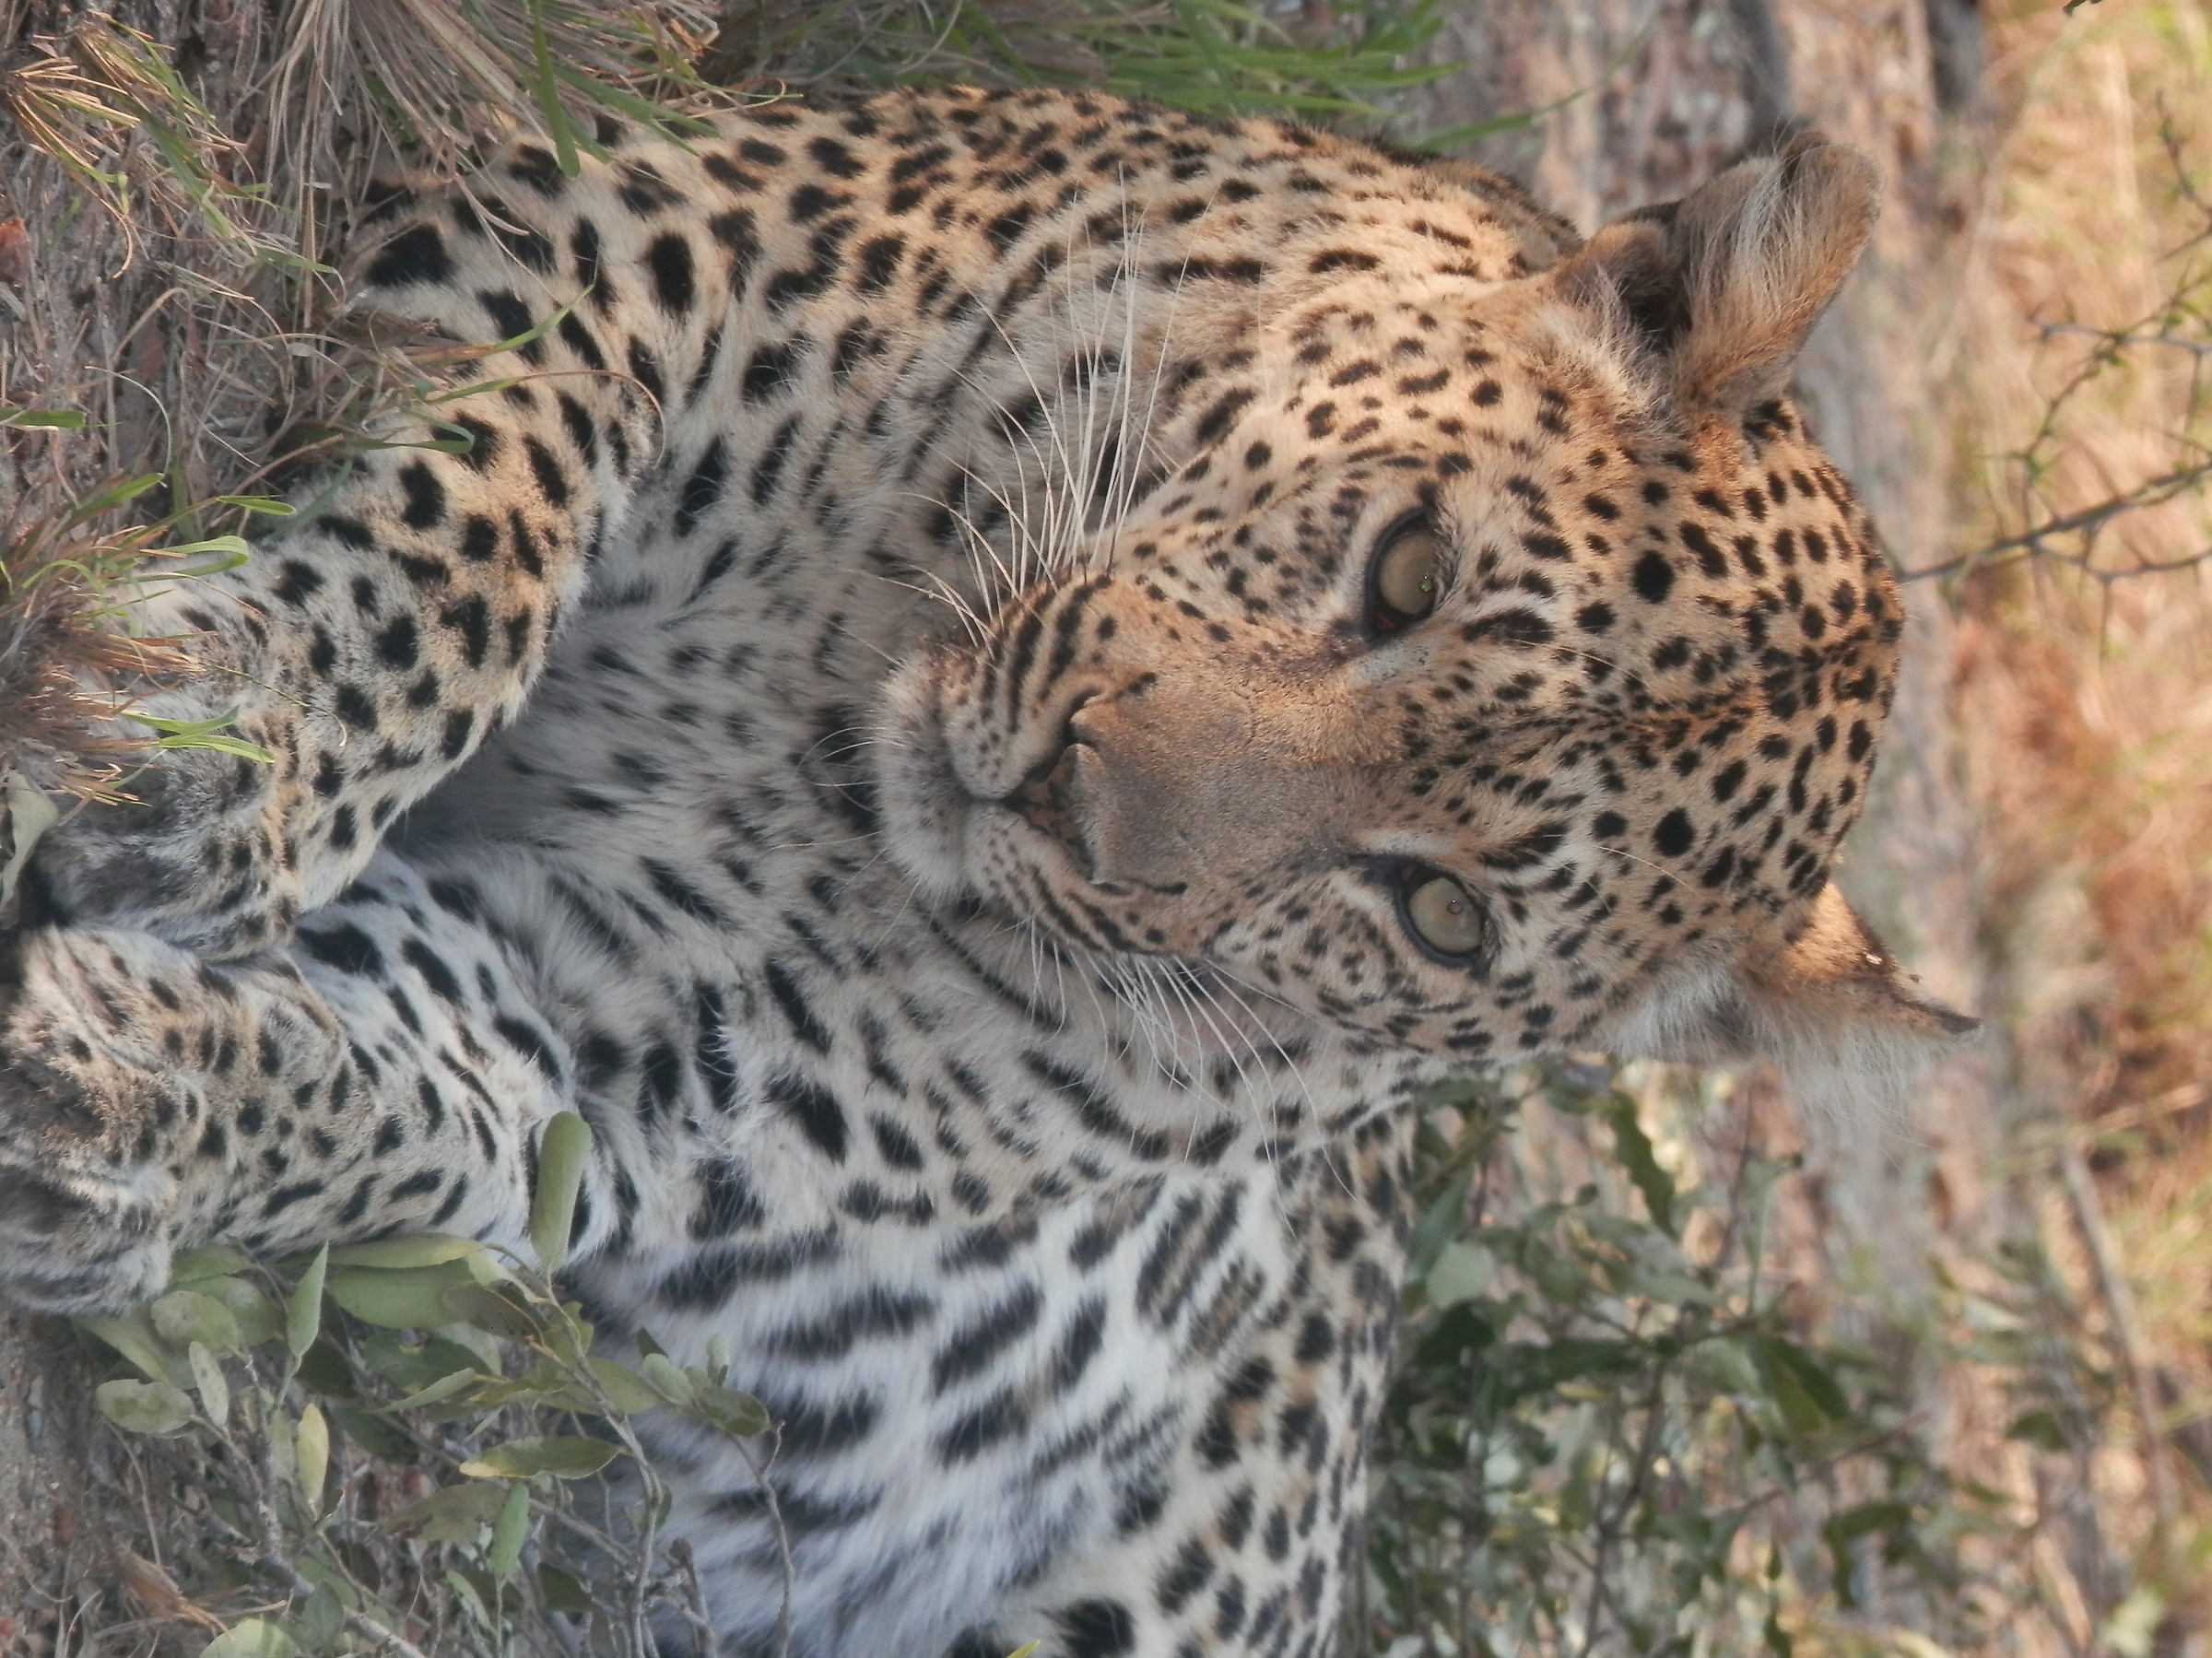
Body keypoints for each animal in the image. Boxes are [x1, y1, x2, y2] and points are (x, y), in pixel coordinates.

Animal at [0, 85, 1974, 1657]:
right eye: (1409, 568)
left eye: (1439, 910)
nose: (1069, 804)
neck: (823, 725)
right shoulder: (656, 227)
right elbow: (485, 514)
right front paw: (213, 728)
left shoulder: (626, 1060)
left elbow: (397, 1100)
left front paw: (102, 1099)